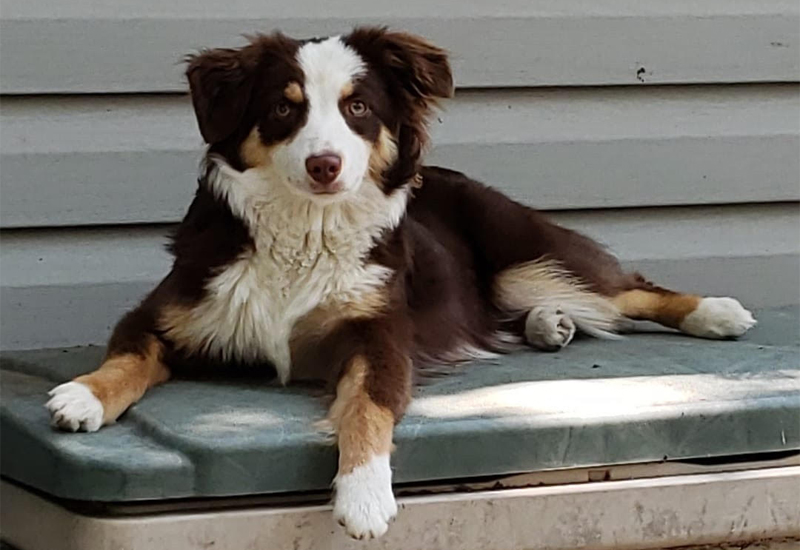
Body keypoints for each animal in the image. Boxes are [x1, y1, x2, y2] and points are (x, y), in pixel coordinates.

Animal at [43, 28, 756, 540]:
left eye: (358, 107)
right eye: (283, 108)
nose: (325, 164)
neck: (305, 230)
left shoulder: (379, 336)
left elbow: (368, 407)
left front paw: (364, 496)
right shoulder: (164, 312)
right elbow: (128, 358)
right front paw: (85, 395)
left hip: (524, 254)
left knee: (627, 286)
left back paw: (713, 311)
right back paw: (549, 325)